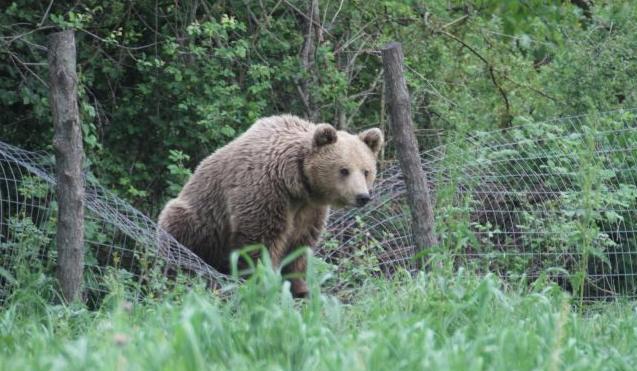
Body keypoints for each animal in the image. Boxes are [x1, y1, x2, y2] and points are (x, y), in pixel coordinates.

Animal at [158, 115, 382, 298]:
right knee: (178, 234)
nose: (362, 196)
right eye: (344, 170)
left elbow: (300, 244)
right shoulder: (265, 191)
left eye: (366, 171)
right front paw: (265, 282)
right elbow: (260, 241)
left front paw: (300, 288)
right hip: (199, 220)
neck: (296, 183)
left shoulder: (309, 210)